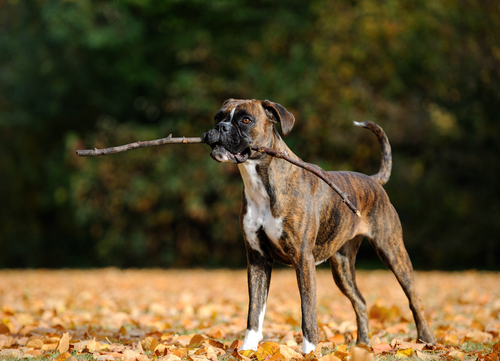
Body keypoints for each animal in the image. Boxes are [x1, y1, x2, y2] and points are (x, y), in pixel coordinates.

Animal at [202, 98, 434, 352]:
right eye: (217, 117)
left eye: (246, 120)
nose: (221, 127)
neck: (262, 181)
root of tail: (373, 180)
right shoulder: (257, 259)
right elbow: (254, 311)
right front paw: (247, 350)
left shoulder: (303, 259)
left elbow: (308, 312)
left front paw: (310, 352)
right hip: (342, 268)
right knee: (361, 303)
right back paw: (362, 346)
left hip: (393, 252)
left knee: (415, 299)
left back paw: (427, 341)